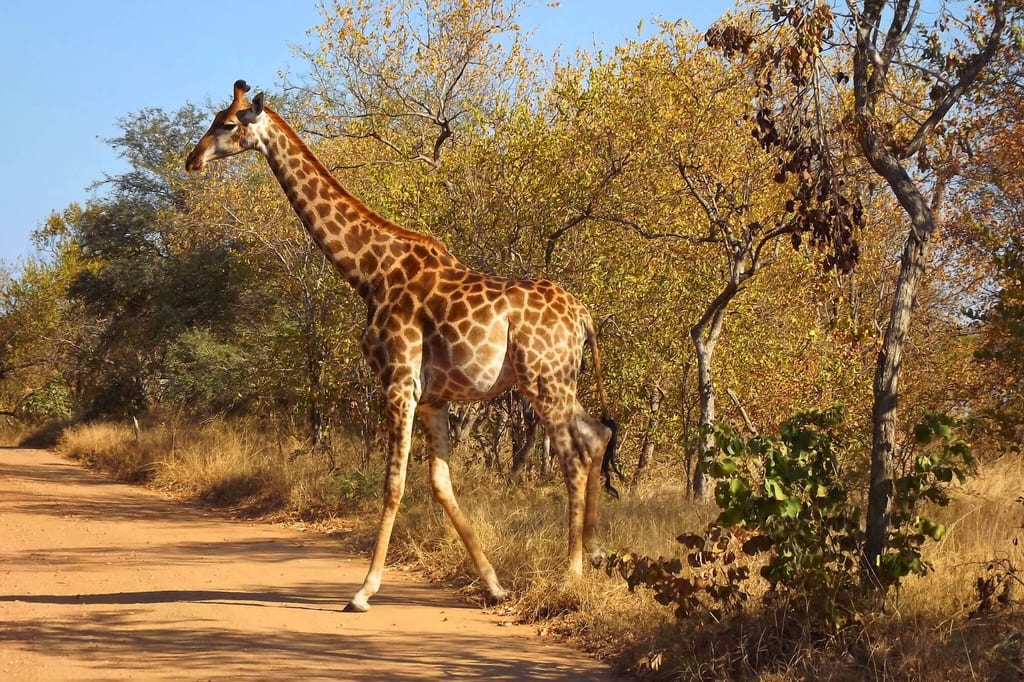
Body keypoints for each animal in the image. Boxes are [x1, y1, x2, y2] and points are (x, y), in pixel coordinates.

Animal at [185, 80, 620, 613]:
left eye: (227, 124)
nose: (192, 159)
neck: (367, 271)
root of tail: (583, 316)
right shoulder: (432, 396)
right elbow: (440, 484)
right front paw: (494, 584)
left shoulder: (397, 380)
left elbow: (393, 484)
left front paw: (363, 590)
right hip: (559, 378)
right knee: (596, 435)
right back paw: (595, 554)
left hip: (543, 378)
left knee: (573, 456)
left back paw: (570, 574)